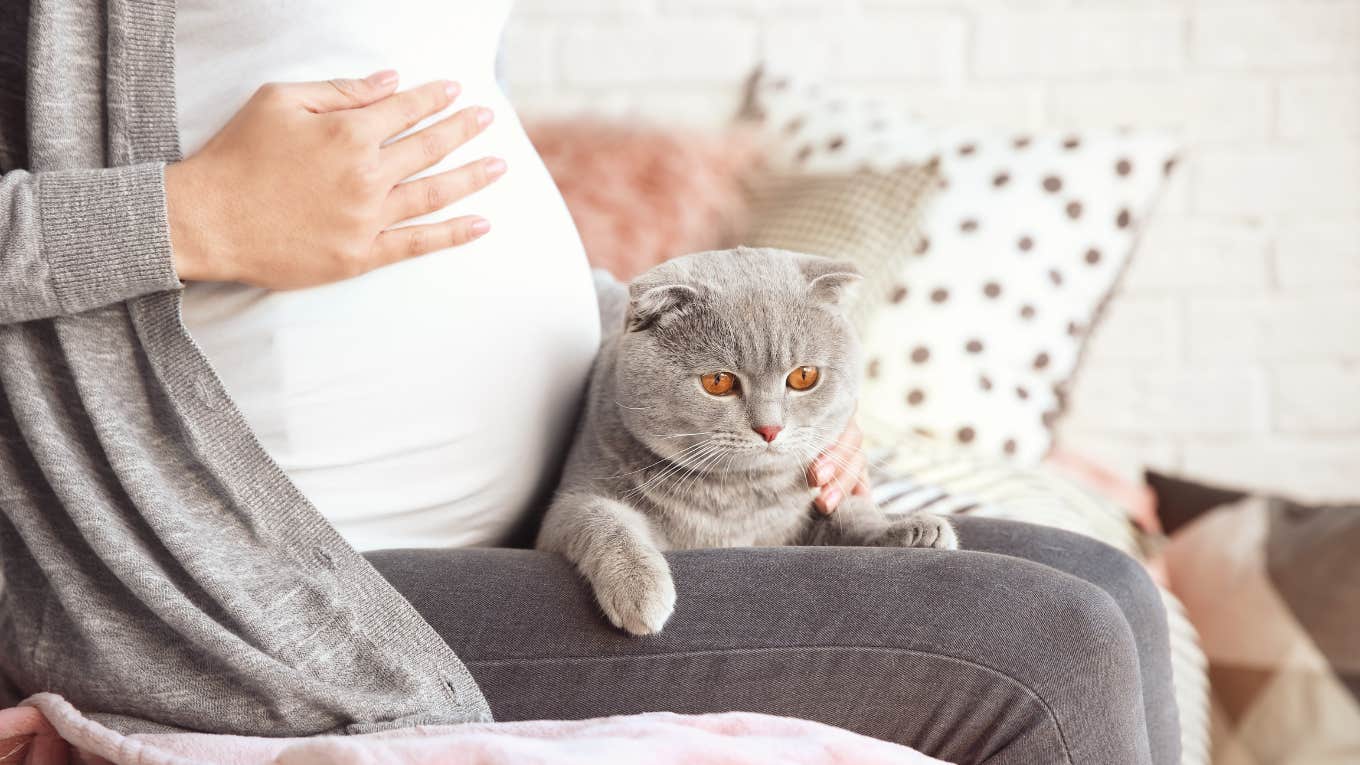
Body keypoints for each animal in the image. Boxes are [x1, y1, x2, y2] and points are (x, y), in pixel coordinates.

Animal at [533, 247, 957, 634]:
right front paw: (641, 589)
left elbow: (853, 515)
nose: (770, 428)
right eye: (718, 381)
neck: (735, 500)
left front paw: (913, 530)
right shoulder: (564, 511)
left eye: (804, 376)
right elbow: (602, 518)